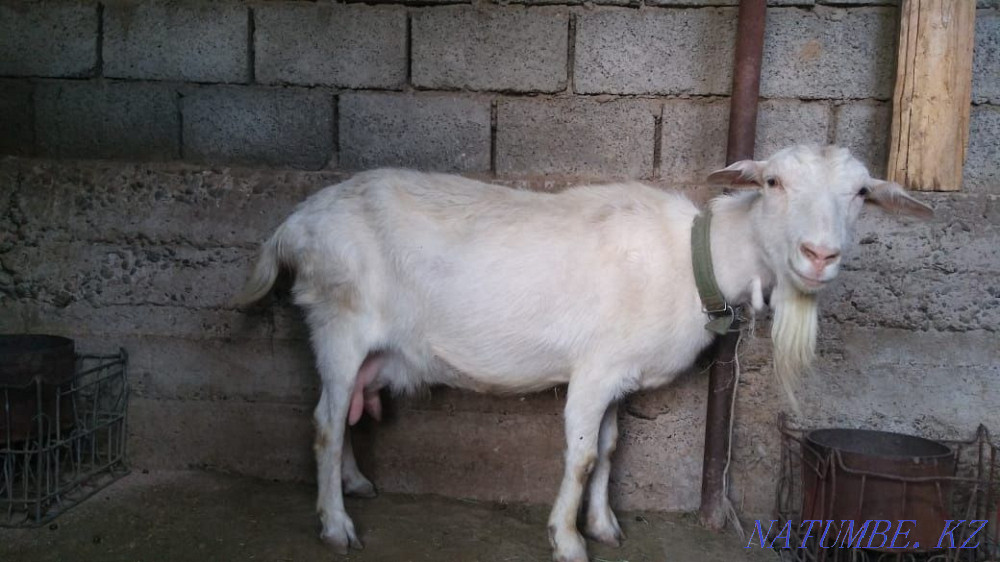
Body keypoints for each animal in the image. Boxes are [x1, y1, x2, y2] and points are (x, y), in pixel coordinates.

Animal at [235, 145, 932, 562]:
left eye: (862, 194)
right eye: (772, 181)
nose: (820, 255)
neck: (693, 261)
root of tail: (294, 224)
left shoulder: (618, 375)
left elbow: (610, 449)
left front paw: (603, 525)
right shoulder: (592, 372)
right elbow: (581, 456)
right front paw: (567, 540)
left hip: (366, 345)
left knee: (347, 409)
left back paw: (355, 483)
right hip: (340, 321)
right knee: (325, 423)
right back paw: (335, 525)